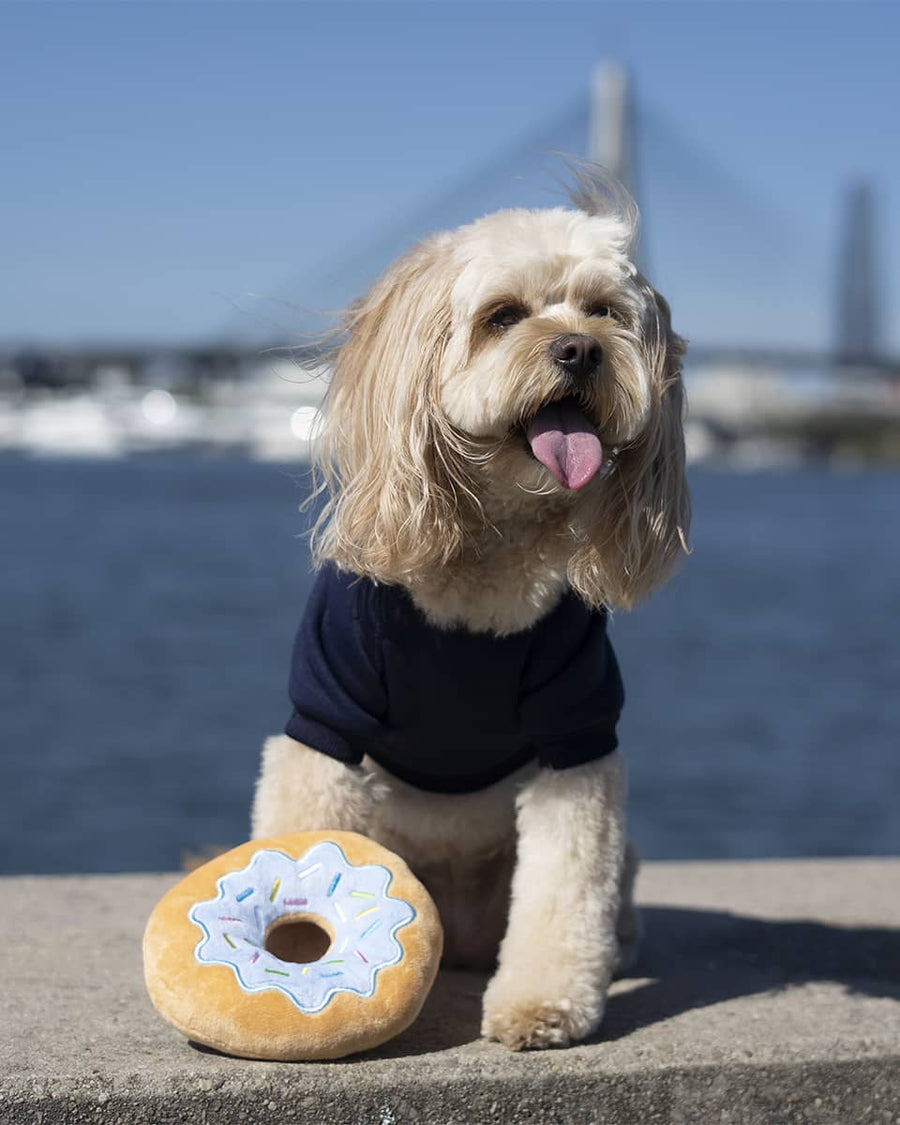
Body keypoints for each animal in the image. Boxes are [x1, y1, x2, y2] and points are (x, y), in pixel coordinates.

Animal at [253, 171, 688, 1048]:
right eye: (504, 316)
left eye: (605, 312)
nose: (580, 349)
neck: (489, 553)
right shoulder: (325, 713)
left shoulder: (577, 734)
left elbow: (566, 885)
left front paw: (543, 1005)